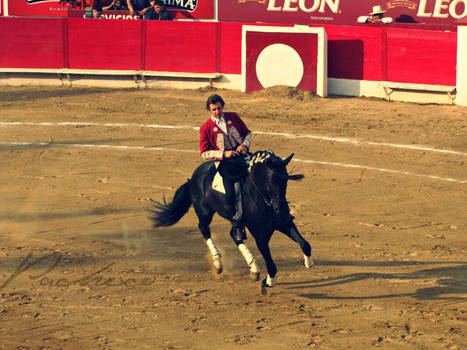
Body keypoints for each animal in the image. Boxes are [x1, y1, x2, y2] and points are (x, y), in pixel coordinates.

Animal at [152, 149, 312, 288]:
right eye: (271, 180)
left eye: (286, 180)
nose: (281, 209)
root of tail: (193, 177)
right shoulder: (260, 235)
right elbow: (271, 265)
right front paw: (268, 282)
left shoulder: (284, 223)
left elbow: (305, 244)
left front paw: (308, 263)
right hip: (204, 212)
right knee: (204, 229)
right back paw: (218, 263)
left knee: (234, 235)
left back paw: (253, 269)